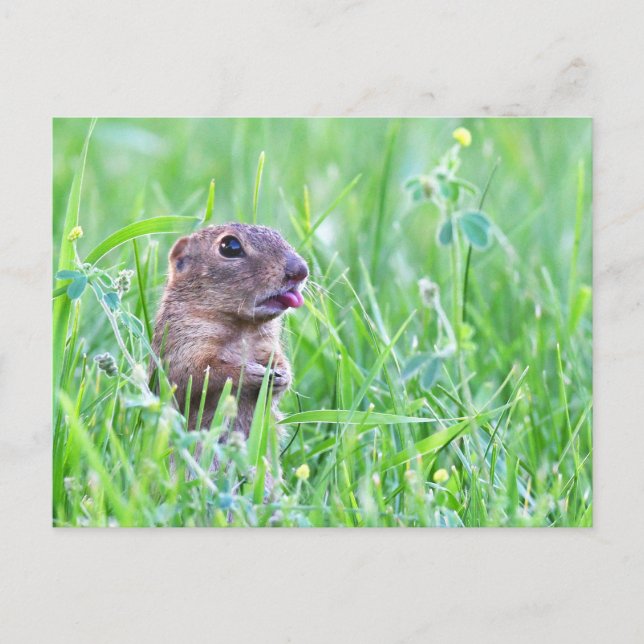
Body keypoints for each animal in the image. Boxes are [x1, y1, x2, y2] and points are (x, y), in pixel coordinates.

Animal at [152, 223, 308, 439]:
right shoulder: (181, 344)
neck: (243, 328)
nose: (301, 270)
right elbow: (193, 375)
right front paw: (249, 373)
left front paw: (283, 376)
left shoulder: (268, 345)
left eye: (278, 235)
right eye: (230, 247)